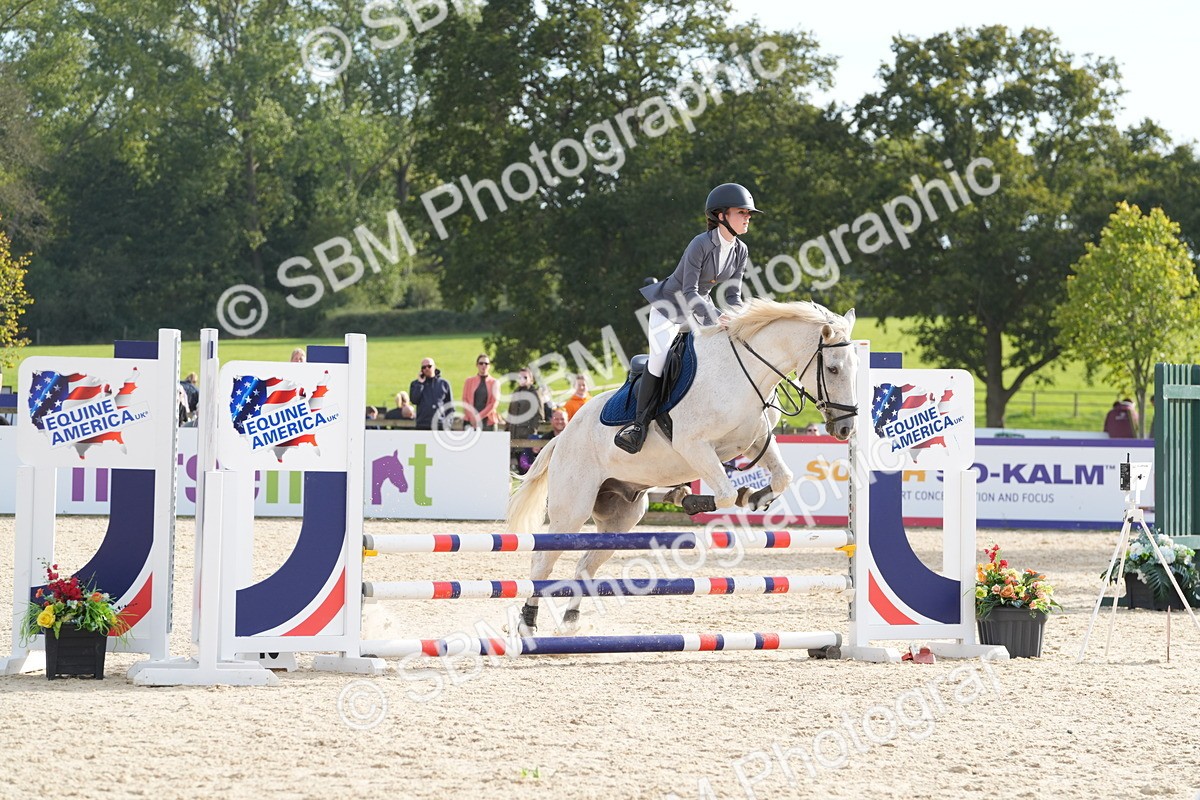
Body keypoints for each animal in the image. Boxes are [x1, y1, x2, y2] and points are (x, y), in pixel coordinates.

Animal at [506, 299, 859, 634]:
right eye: (832, 369)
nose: (846, 428)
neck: (746, 374)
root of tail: (561, 438)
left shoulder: (757, 439)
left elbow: (782, 477)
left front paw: (754, 497)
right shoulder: (695, 446)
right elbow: (726, 493)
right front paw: (688, 498)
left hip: (621, 517)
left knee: (585, 565)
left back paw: (571, 621)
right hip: (572, 510)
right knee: (542, 563)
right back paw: (527, 622)